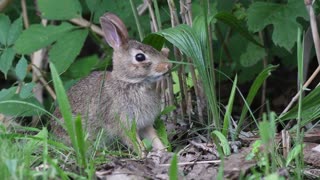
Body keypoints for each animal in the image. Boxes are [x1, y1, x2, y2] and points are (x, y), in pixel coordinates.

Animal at [52, 12, 172, 153]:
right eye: (140, 57)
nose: (168, 66)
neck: (130, 82)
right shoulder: (123, 123)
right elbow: (133, 141)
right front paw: (143, 153)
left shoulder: (144, 124)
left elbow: (154, 138)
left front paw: (164, 151)